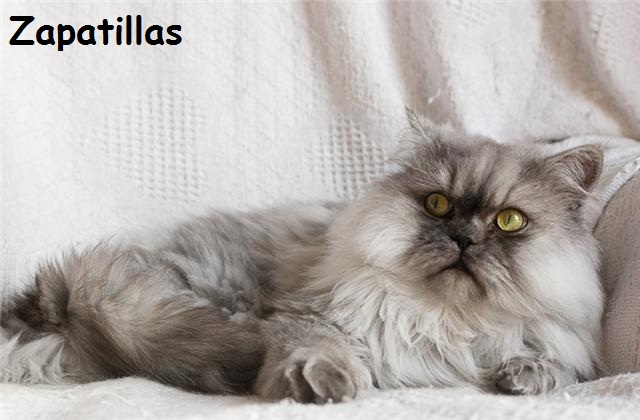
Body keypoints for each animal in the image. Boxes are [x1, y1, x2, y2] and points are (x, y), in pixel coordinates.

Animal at [1, 111, 604, 403]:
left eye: (509, 222)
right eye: (438, 205)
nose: (463, 241)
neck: (444, 319)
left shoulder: (566, 348)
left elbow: (553, 367)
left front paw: (522, 377)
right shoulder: (313, 317)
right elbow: (318, 349)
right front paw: (325, 383)